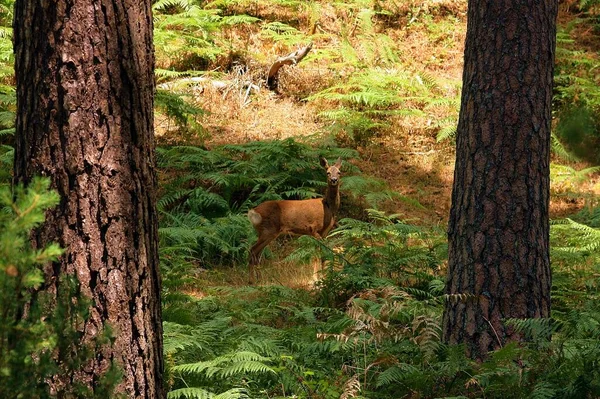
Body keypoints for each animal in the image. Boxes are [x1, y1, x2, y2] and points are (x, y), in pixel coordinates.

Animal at [247, 156, 342, 284]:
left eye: (339, 172)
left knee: (257, 254)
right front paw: (315, 279)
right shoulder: (314, 229)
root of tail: (253, 212)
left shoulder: (324, 233)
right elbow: (316, 254)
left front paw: (323, 278)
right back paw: (251, 280)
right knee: (252, 250)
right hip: (268, 230)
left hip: (266, 232)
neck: (328, 207)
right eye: (327, 172)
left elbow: (323, 254)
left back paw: (259, 280)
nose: (333, 180)